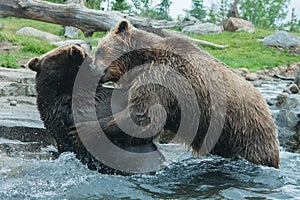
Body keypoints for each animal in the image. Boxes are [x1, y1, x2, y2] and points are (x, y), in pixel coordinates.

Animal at [95, 19, 280, 167]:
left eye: (99, 51)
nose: (94, 71)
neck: (142, 60)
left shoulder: (161, 79)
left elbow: (143, 115)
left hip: (245, 131)